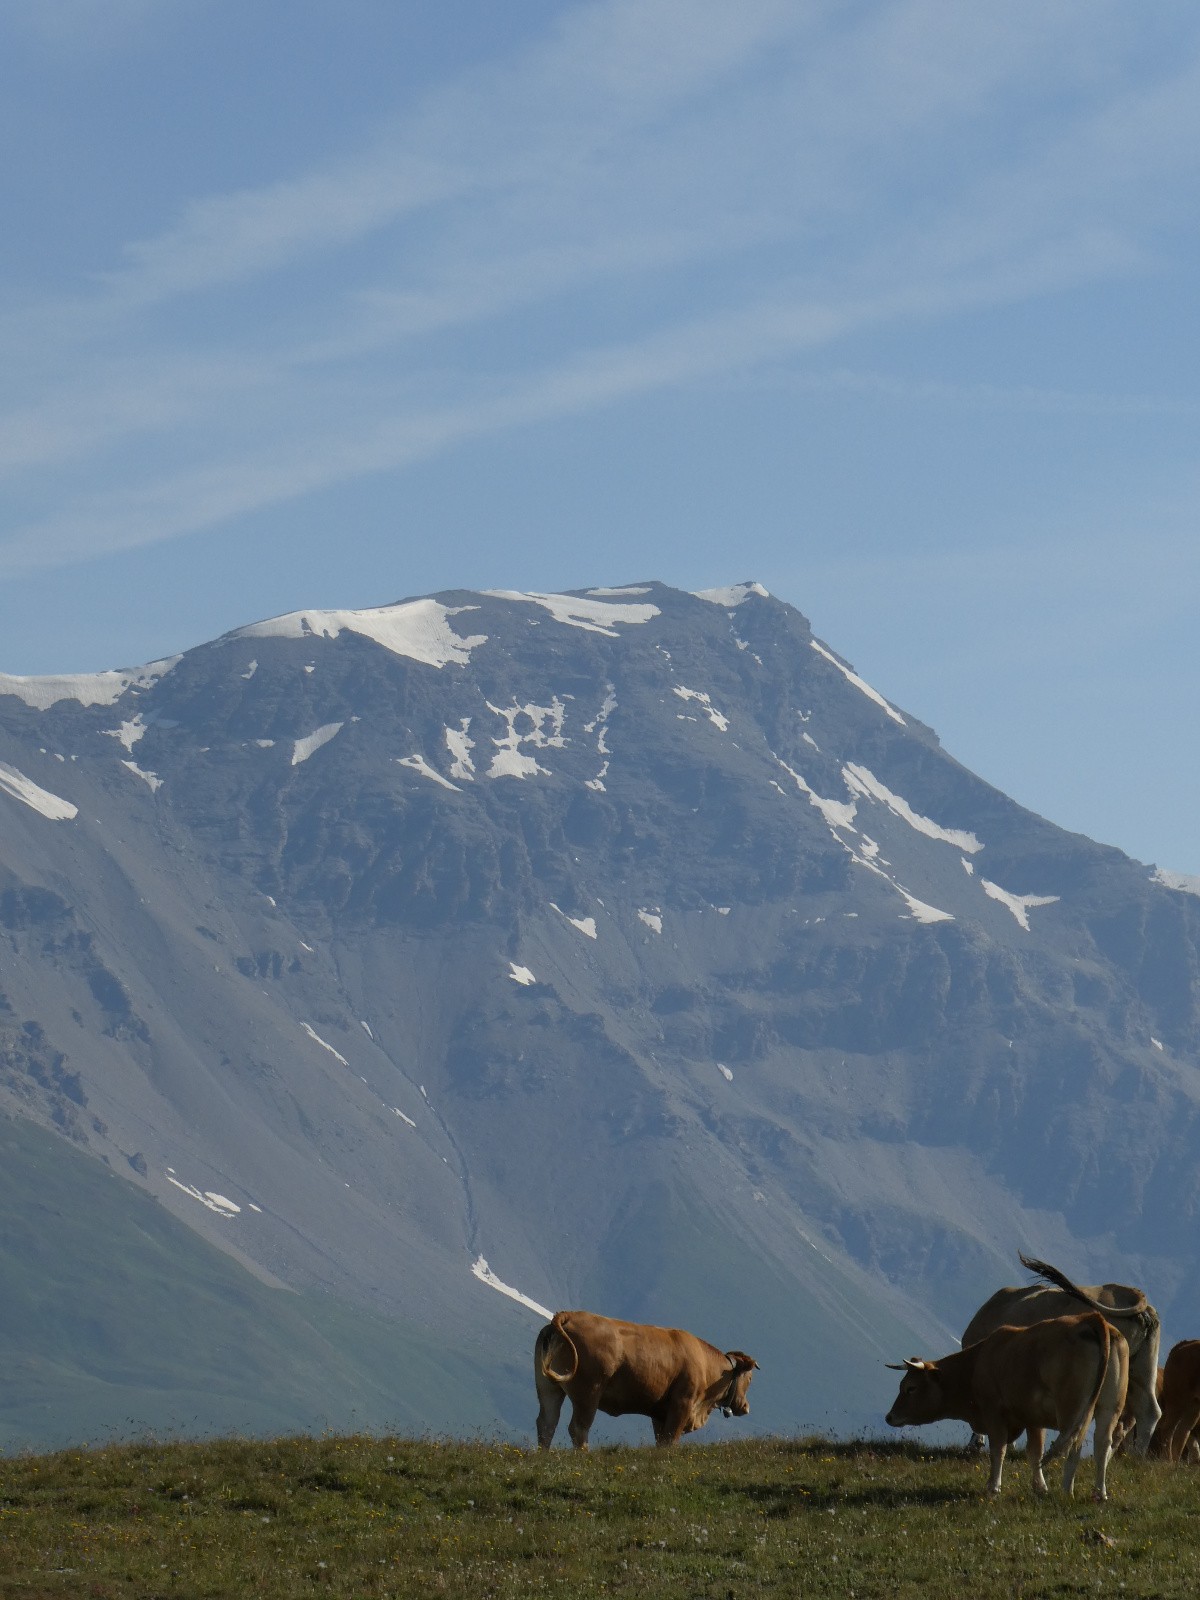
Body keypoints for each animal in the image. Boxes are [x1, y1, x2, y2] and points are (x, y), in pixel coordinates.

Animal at [537, 1312, 761, 1452]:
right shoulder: (682, 1404)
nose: (746, 1407)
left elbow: (661, 1440)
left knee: (547, 1423)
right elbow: (670, 1439)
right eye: (749, 1378)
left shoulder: (660, 1413)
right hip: (589, 1393)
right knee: (578, 1427)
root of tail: (569, 1315)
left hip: (549, 1388)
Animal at [889, 1312, 1132, 1497]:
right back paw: (1099, 1493)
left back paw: (1066, 1491)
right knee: (1102, 1443)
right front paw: (1040, 1487)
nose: (889, 1417)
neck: (977, 1364)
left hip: (1072, 1409)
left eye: (910, 1387)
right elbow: (1034, 1452)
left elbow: (998, 1449)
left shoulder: (994, 1412)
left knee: (1075, 1444)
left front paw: (993, 1487)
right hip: (1110, 1406)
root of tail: (1091, 1318)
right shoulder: (1033, 1418)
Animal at [1145, 1337, 1200, 1465]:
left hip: (1194, 1406)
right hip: (1177, 1401)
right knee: (1169, 1428)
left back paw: (1176, 1462)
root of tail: (1185, 1343)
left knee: (1183, 1431)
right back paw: (1168, 1460)